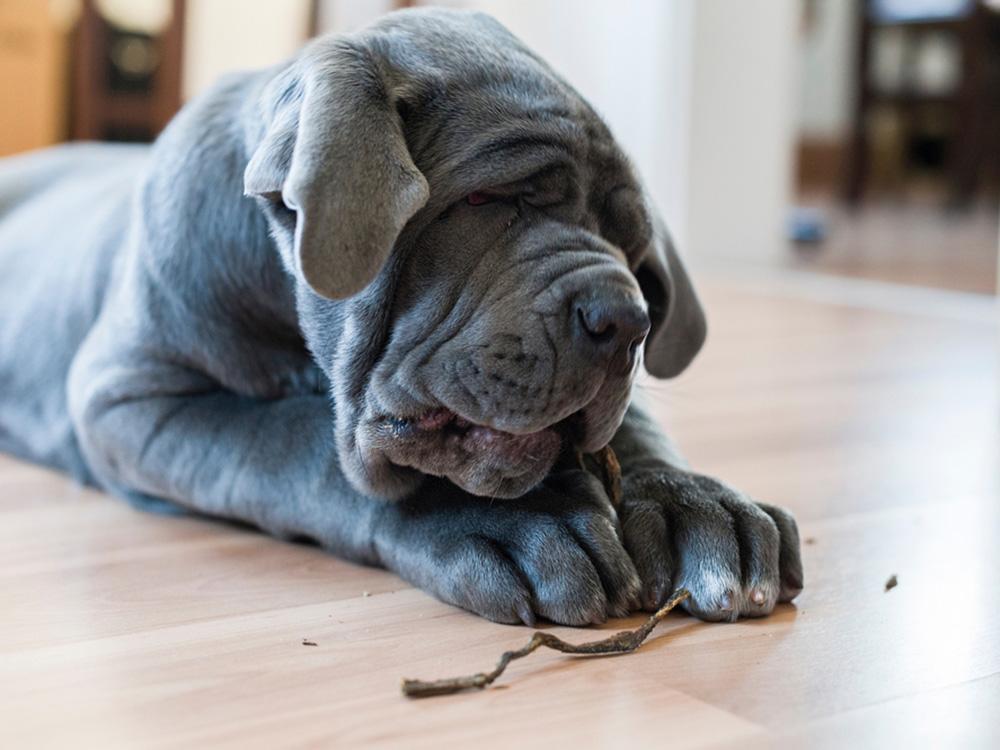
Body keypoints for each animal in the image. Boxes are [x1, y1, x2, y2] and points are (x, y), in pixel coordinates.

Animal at [0, 8, 800, 624]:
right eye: (483, 201)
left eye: (631, 247)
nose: (625, 321)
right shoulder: (133, 398)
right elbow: (296, 443)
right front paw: (522, 522)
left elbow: (635, 429)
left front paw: (694, 503)